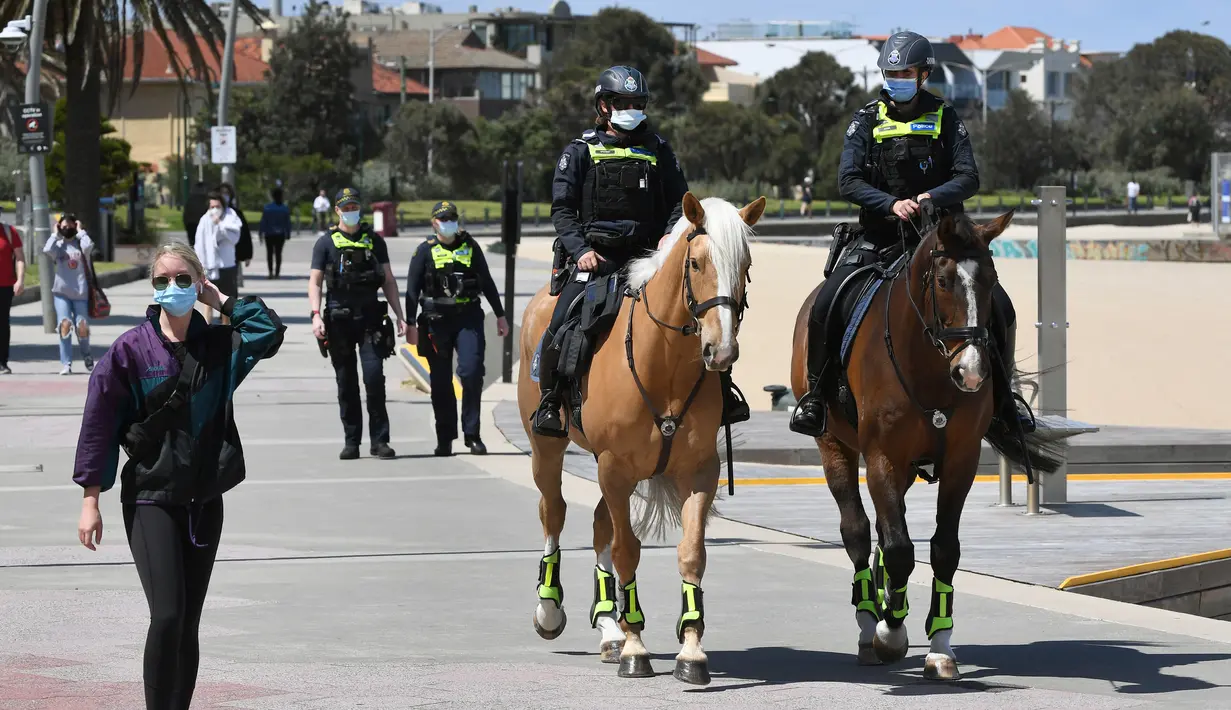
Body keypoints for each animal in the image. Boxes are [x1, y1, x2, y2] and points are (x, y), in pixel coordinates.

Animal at [517, 191, 758, 679]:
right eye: (697, 263)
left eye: (745, 265)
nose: (722, 350)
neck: (662, 363)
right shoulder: (614, 467)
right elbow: (627, 549)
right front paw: (635, 646)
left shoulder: (699, 471)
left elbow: (691, 551)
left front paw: (690, 650)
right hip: (548, 448)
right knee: (554, 512)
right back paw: (551, 610)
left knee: (598, 525)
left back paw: (609, 627)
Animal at [787, 209, 1068, 679]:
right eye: (942, 281)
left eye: (991, 279)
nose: (972, 372)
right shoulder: (881, 456)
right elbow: (900, 549)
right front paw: (889, 634)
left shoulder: (959, 461)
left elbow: (943, 549)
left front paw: (939, 646)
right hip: (834, 446)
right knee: (857, 531)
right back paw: (870, 622)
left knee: (884, 529)